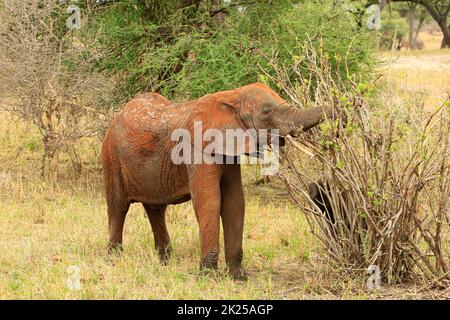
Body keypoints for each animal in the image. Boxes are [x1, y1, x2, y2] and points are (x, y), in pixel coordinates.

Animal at [102, 83, 342, 280]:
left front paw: (238, 276)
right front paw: (208, 275)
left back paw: (165, 261)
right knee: (118, 207)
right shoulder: (197, 149)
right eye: (266, 112)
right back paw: (114, 258)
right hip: (111, 156)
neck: (230, 97)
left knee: (155, 209)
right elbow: (209, 202)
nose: (341, 121)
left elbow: (235, 203)